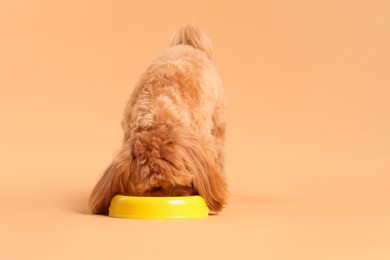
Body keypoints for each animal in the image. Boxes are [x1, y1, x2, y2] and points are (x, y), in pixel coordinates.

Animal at [88, 24, 227, 215]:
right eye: (154, 189)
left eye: (180, 183)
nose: (172, 201)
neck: (158, 117)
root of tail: (187, 45)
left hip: (217, 125)